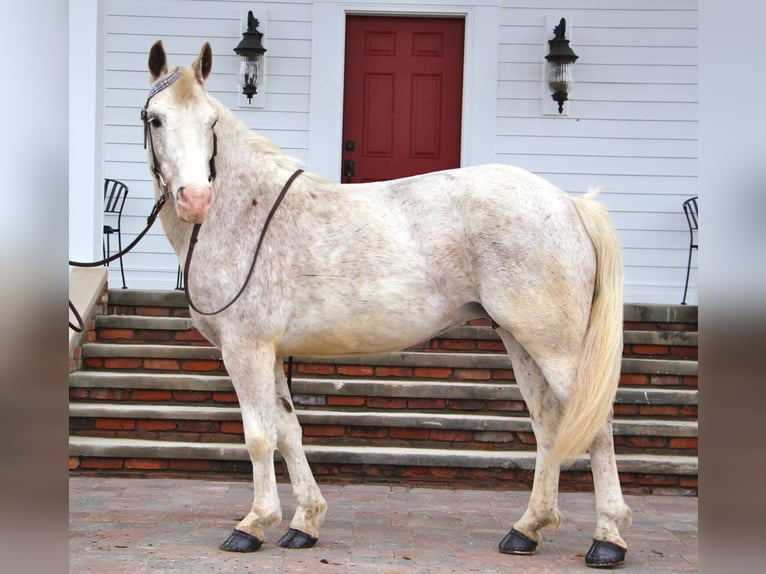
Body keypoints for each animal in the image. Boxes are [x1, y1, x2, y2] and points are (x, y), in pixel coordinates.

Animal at [146, 42, 636, 568]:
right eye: (156, 118)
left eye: (211, 121)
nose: (195, 200)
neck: (244, 212)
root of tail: (569, 205)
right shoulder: (271, 353)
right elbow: (287, 430)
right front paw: (304, 523)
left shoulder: (246, 349)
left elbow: (259, 438)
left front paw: (254, 524)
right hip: (520, 340)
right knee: (549, 425)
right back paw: (527, 529)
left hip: (557, 348)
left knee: (596, 426)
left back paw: (607, 539)